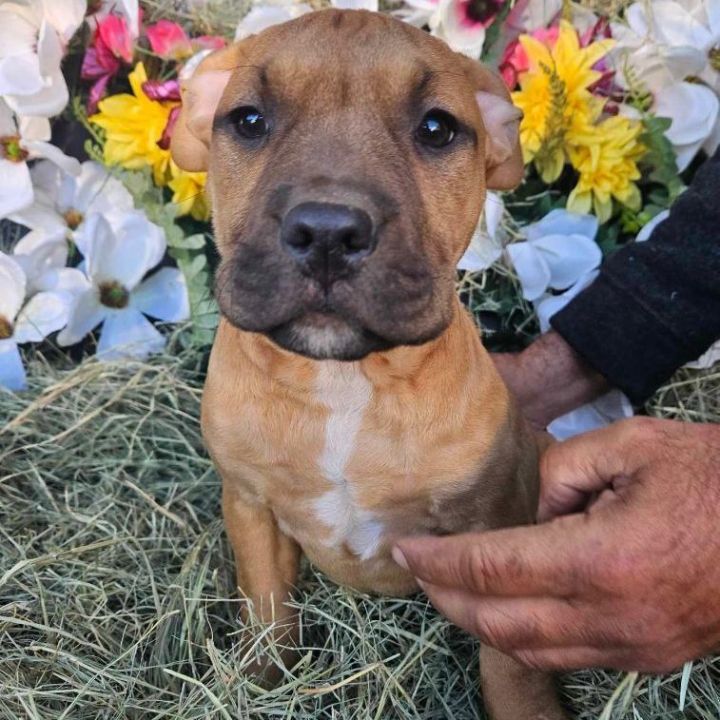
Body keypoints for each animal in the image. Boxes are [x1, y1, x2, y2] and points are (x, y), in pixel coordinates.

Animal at [173, 8, 568, 716]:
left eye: (437, 128)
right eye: (248, 120)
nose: (328, 232)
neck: (346, 383)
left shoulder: (494, 531)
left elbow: (511, 663)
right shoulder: (250, 506)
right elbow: (267, 610)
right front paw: (265, 681)